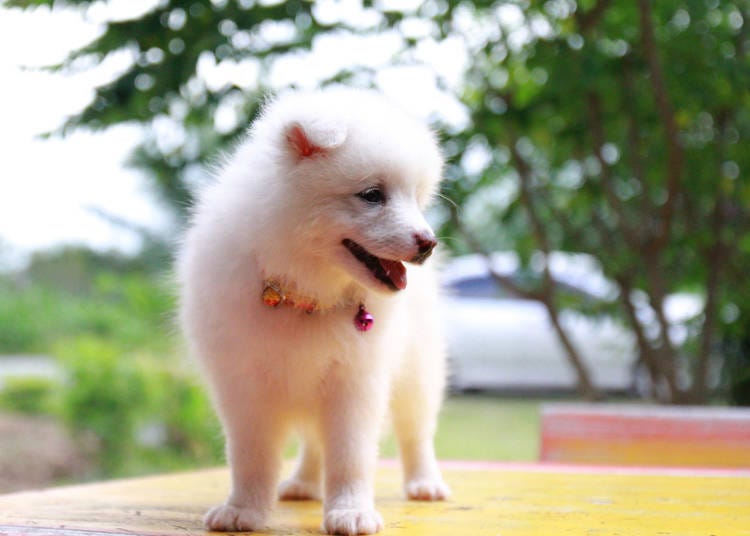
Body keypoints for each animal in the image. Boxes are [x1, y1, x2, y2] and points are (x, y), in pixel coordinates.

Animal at [179, 86, 450, 532]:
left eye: (416, 198)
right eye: (372, 195)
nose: (428, 243)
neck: (304, 293)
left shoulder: (355, 382)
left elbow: (350, 456)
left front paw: (351, 512)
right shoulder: (243, 383)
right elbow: (251, 455)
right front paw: (243, 510)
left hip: (418, 371)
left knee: (416, 432)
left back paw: (425, 483)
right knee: (314, 443)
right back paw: (304, 483)